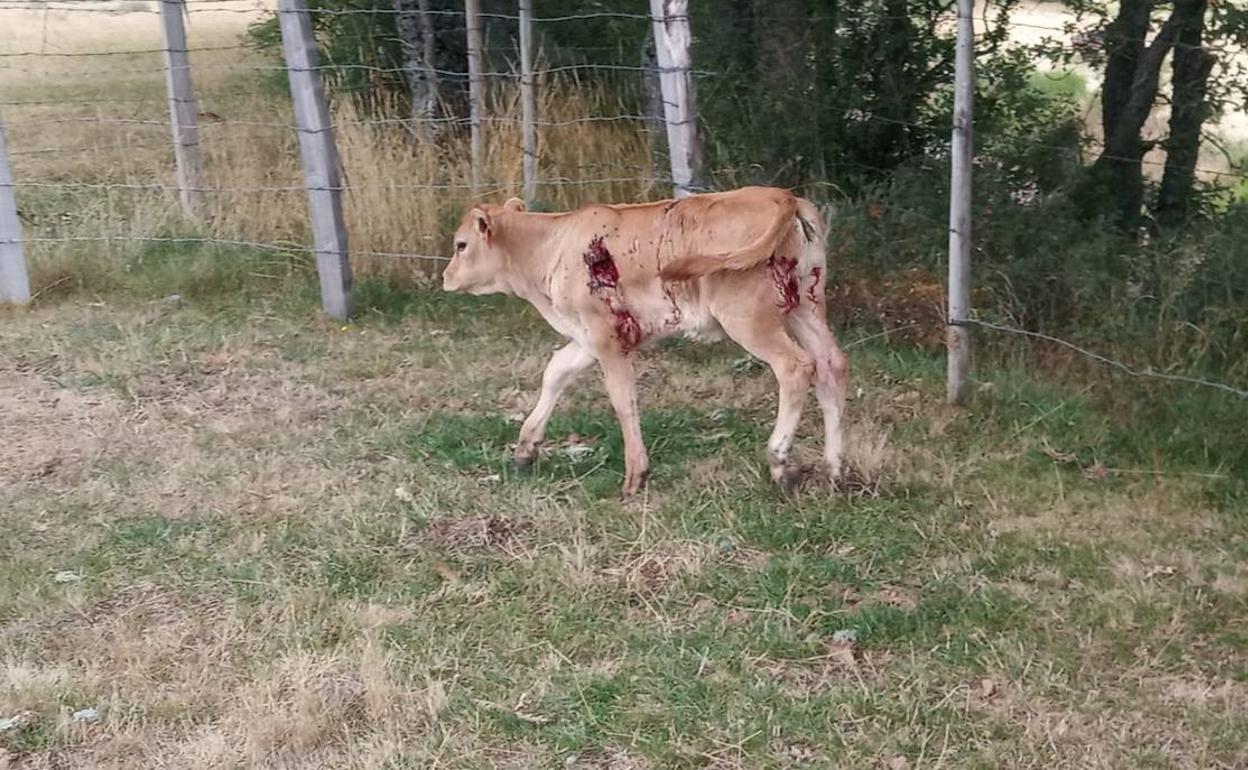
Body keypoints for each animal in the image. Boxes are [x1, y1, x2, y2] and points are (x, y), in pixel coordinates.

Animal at [441, 187, 848, 499]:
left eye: (461, 245)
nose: (446, 277)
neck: (549, 246)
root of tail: (781, 195)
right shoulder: (587, 337)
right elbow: (555, 372)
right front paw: (525, 449)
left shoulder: (604, 335)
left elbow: (623, 399)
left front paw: (635, 475)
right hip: (806, 306)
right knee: (831, 364)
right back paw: (835, 468)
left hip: (748, 316)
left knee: (795, 368)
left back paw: (780, 464)